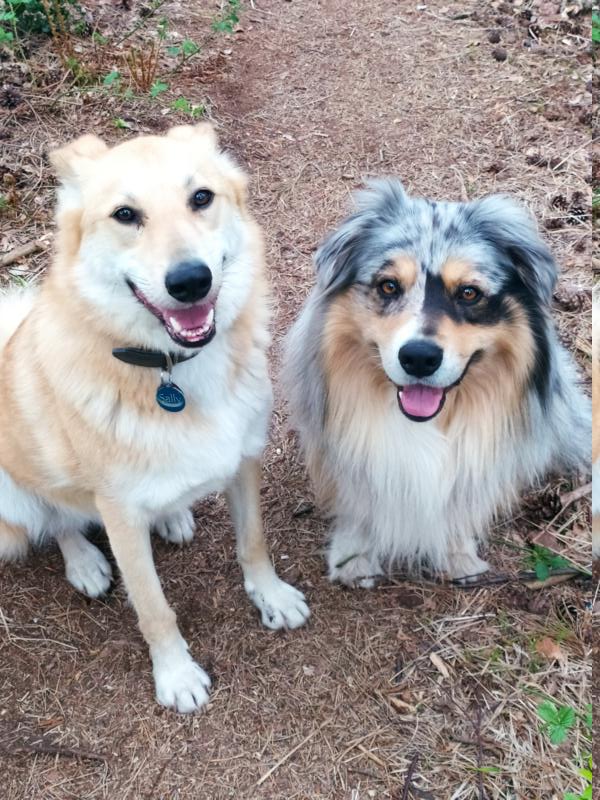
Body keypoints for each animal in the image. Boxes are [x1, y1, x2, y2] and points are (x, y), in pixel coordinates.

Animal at [0, 125, 310, 712]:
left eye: (201, 198)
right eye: (125, 215)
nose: (191, 281)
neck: (174, 370)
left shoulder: (244, 462)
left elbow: (253, 542)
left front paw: (271, 596)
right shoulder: (119, 514)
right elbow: (153, 607)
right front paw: (177, 675)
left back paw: (171, 516)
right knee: (55, 520)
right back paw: (85, 562)